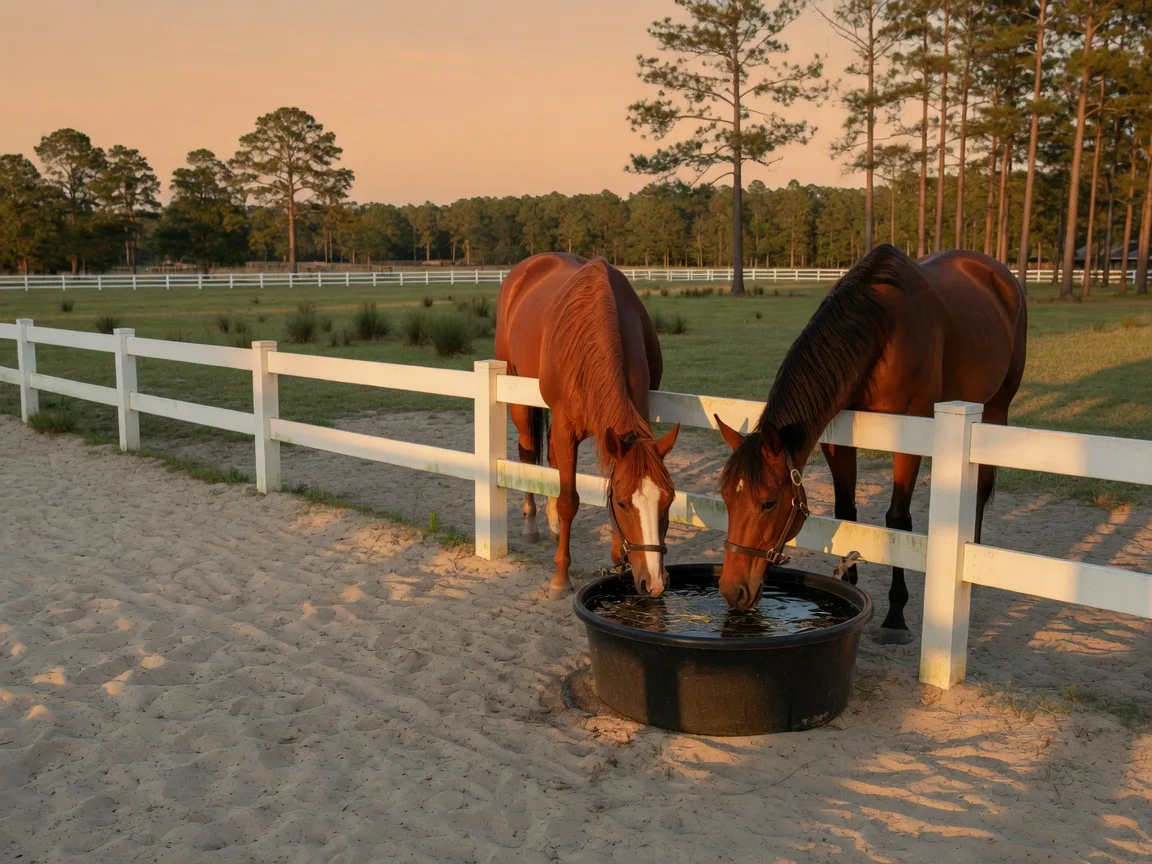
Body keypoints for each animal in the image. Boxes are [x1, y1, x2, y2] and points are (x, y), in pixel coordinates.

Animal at [495, 253, 681, 600]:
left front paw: (618, 555)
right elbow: (570, 500)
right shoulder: (567, 428)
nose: (654, 583)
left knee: (551, 460)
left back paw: (553, 525)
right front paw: (560, 578)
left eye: (669, 500)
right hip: (518, 399)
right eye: (623, 503)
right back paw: (532, 524)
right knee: (527, 454)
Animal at [714, 244, 1027, 645]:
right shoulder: (839, 437)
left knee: (982, 486)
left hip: (997, 408)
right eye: (725, 497)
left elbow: (898, 520)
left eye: (767, 502)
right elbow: (847, 512)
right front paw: (849, 587)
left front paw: (896, 614)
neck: (883, 331)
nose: (732, 590)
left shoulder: (910, 435)